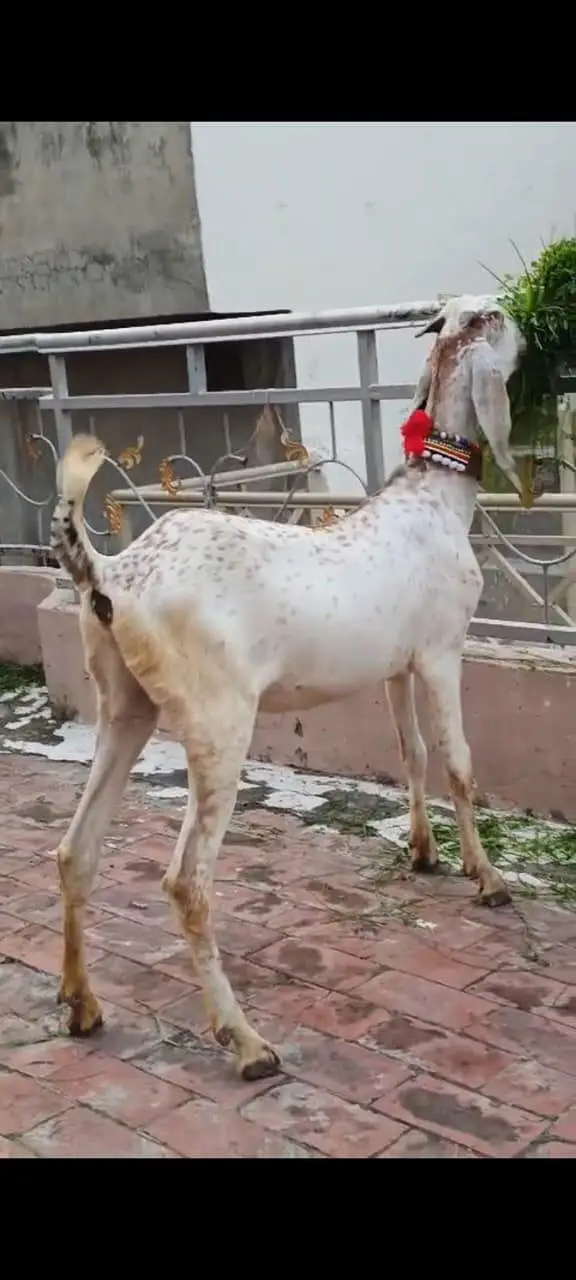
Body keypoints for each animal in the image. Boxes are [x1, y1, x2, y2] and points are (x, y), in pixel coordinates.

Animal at [50, 293, 527, 1081]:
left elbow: (413, 755)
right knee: (187, 881)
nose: (525, 316)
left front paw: (424, 854)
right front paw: (487, 879)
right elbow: (459, 764)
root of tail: (113, 574)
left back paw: (83, 1007)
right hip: (218, 717)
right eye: (498, 319)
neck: (433, 500)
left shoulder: (394, 664)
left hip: (124, 704)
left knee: (75, 850)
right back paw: (246, 1043)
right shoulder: (439, 650)